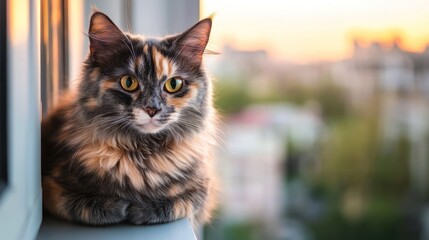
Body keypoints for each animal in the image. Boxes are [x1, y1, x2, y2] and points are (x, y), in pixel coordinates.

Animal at [41, 9, 217, 227]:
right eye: (128, 82)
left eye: (174, 84)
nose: (152, 109)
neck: (140, 153)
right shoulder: (52, 187)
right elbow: (82, 205)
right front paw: (118, 207)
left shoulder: (202, 190)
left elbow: (178, 203)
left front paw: (141, 209)